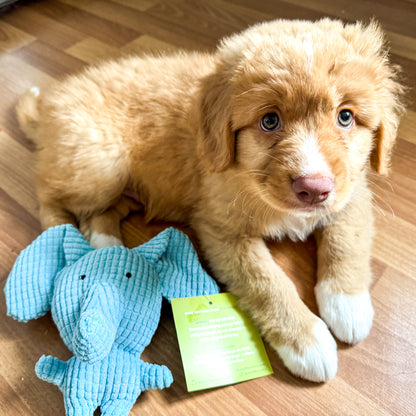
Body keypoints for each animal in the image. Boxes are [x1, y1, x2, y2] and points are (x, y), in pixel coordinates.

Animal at [17, 20, 404, 384]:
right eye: (269, 121)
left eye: (345, 116)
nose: (313, 189)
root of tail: (52, 106)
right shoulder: (221, 229)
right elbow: (267, 281)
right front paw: (307, 341)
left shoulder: (353, 190)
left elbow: (346, 239)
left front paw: (348, 303)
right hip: (100, 162)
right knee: (48, 197)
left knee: (98, 213)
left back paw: (106, 246)